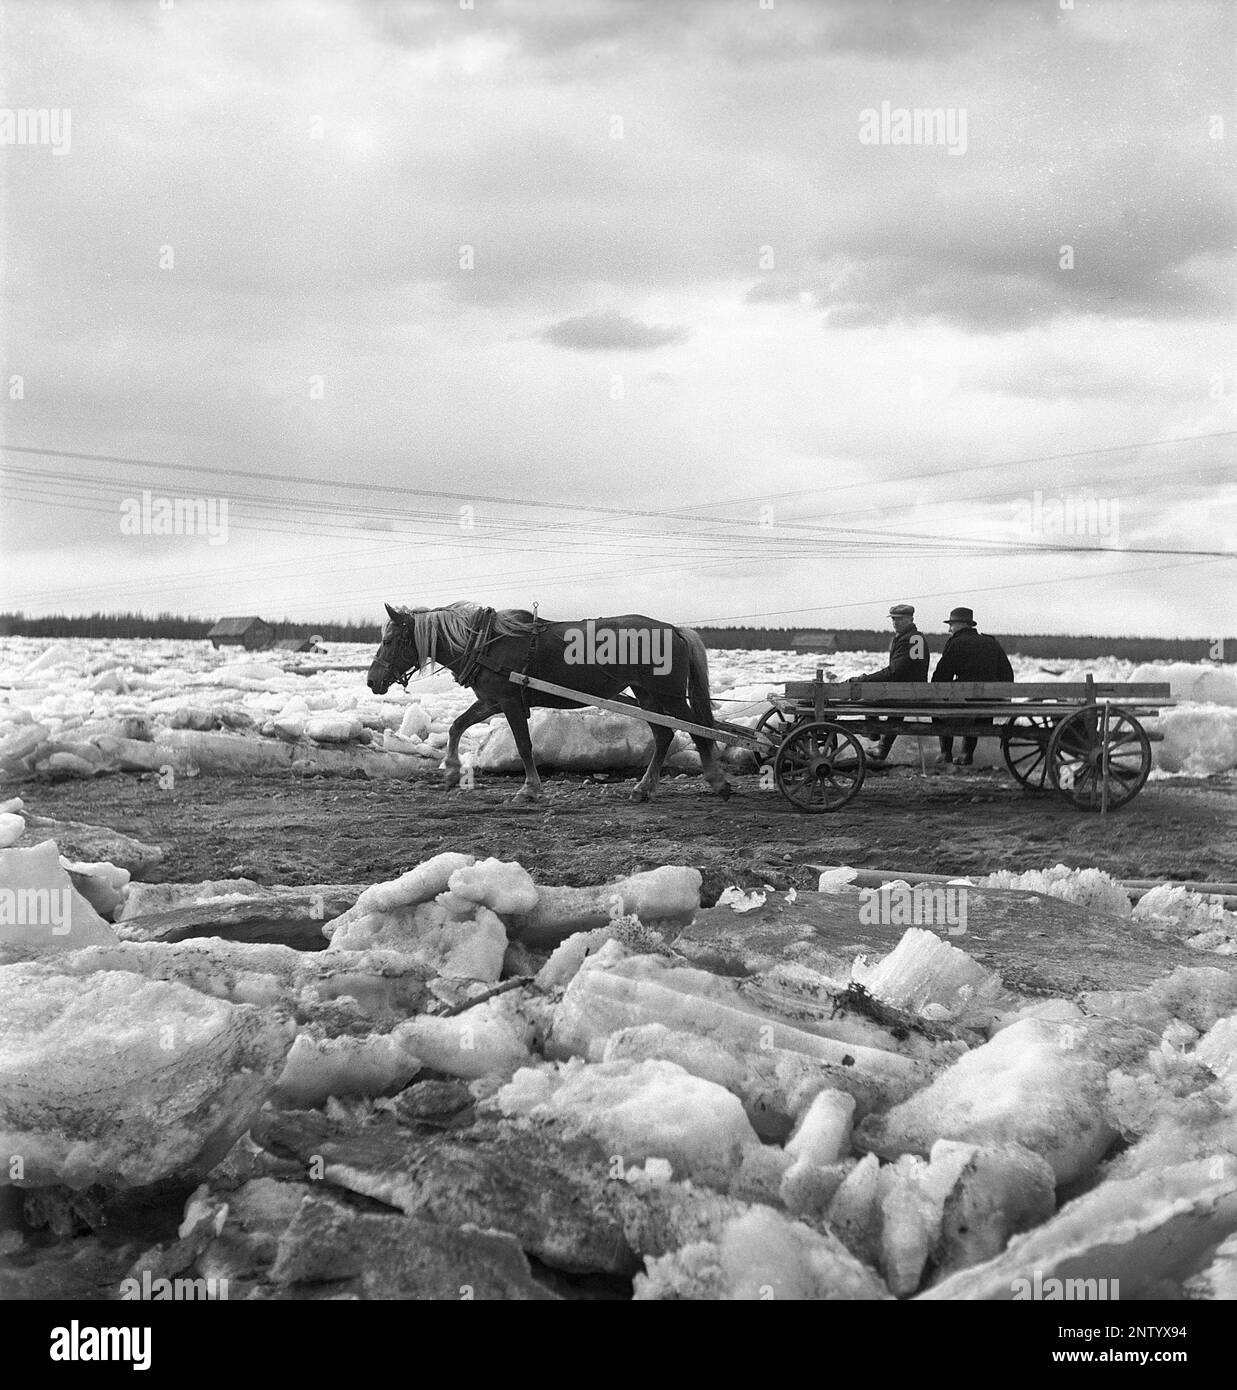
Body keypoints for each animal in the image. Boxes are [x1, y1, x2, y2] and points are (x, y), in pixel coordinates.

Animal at [366, 600, 733, 806]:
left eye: (389, 640)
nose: (371, 681)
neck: (484, 643)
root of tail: (673, 628)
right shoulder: (491, 701)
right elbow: (457, 726)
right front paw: (453, 771)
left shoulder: (510, 701)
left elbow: (524, 745)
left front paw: (529, 789)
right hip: (646, 694)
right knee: (664, 735)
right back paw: (644, 788)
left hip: (667, 694)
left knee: (696, 731)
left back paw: (717, 781)